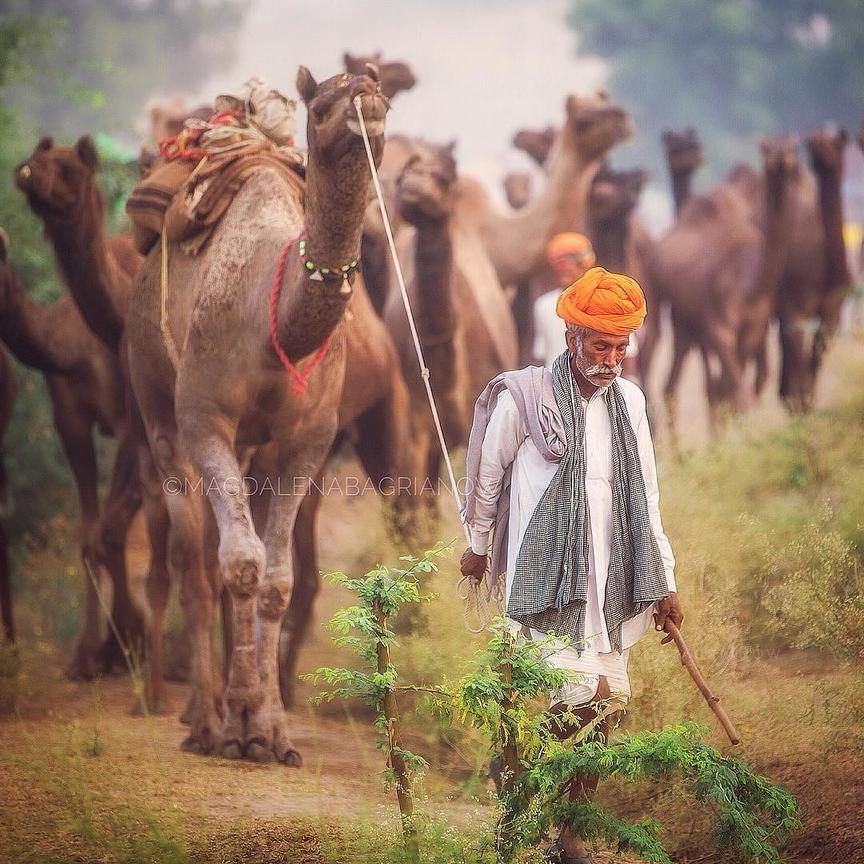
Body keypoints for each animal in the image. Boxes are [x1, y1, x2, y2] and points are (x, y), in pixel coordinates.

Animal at [125, 66, 388, 764]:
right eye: (321, 104)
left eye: (382, 94)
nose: (367, 107)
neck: (277, 327)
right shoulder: (204, 416)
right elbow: (237, 563)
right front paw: (234, 724)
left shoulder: (307, 440)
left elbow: (274, 579)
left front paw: (270, 732)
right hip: (157, 407)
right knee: (192, 558)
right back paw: (201, 716)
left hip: (252, 447)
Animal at [776, 126, 852, 414]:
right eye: (813, 140)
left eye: (835, 143)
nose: (814, 146)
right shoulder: (793, 304)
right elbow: (798, 351)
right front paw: (799, 404)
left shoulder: (833, 308)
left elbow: (818, 351)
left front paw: (808, 403)